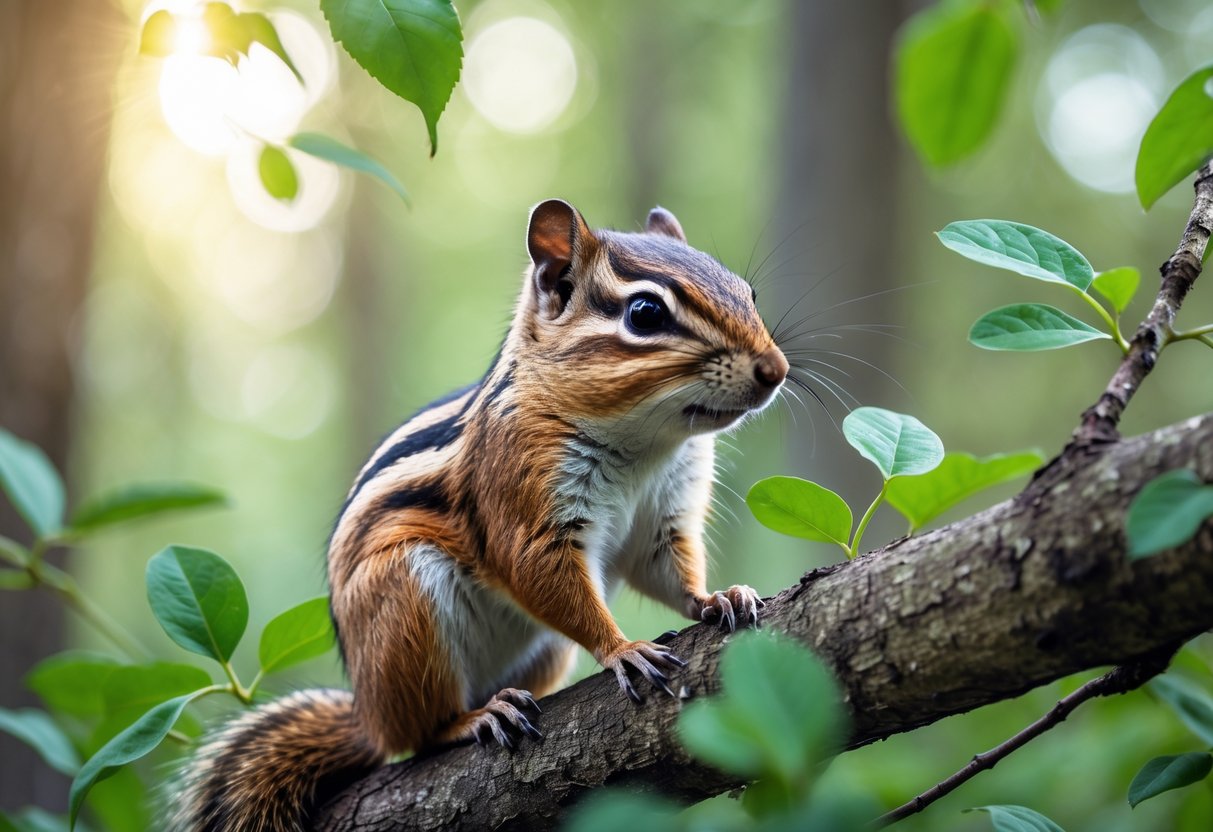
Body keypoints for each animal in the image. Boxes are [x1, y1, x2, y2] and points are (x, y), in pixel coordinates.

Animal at [170, 199, 789, 831]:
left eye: (749, 292)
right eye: (645, 313)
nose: (776, 368)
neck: (647, 446)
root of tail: (369, 716)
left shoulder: (666, 515)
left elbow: (667, 569)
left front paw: (717, 598)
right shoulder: (523, 493)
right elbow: (533, 569)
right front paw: (623, 650)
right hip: (405, 603)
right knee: (420, 735)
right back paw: (473, 719)